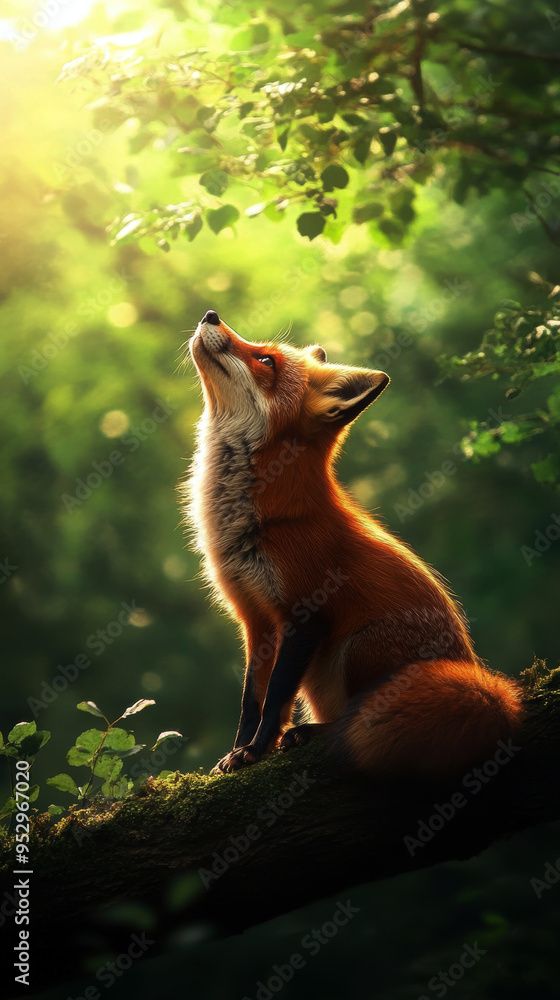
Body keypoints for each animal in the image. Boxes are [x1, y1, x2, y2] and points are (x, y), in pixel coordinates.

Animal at [183, 309, 524, 777]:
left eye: (266, 360)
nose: (210, 314)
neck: (263, 521)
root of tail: (481, 679)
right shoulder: (255, 620)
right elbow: (252, 701)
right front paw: (239, 751)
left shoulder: (305, 615)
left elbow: (274, 701)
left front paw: (256, 749)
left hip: (357, 648)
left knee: (355, 714)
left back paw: (314, 732)